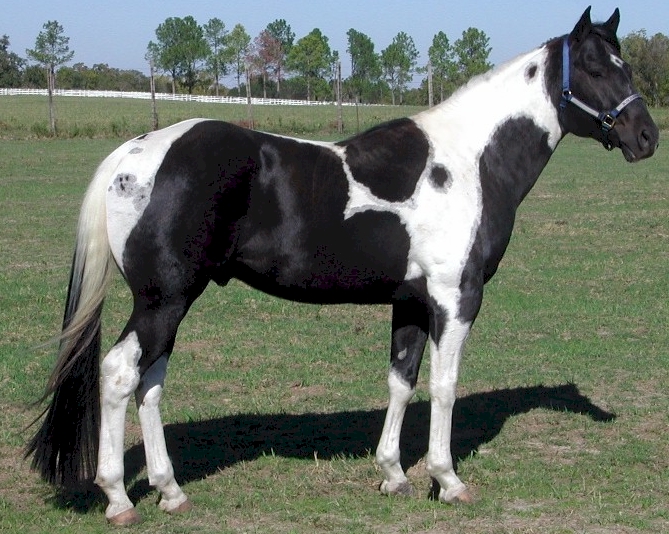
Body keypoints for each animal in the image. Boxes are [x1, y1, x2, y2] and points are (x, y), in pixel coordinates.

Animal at [26, 7, 658, 525]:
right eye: (597, 67)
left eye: (625, 64)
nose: (647, 136)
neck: (469, 162)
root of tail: (134, 153)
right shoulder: (456, 298)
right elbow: (445, 385)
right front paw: (447, 480)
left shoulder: (410, 301)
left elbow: (402, 381)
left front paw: (393, 475)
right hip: (163, 300)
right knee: (119, 374)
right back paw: (119, 499)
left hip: (172, 304)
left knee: (150, 382)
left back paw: (171, 491)